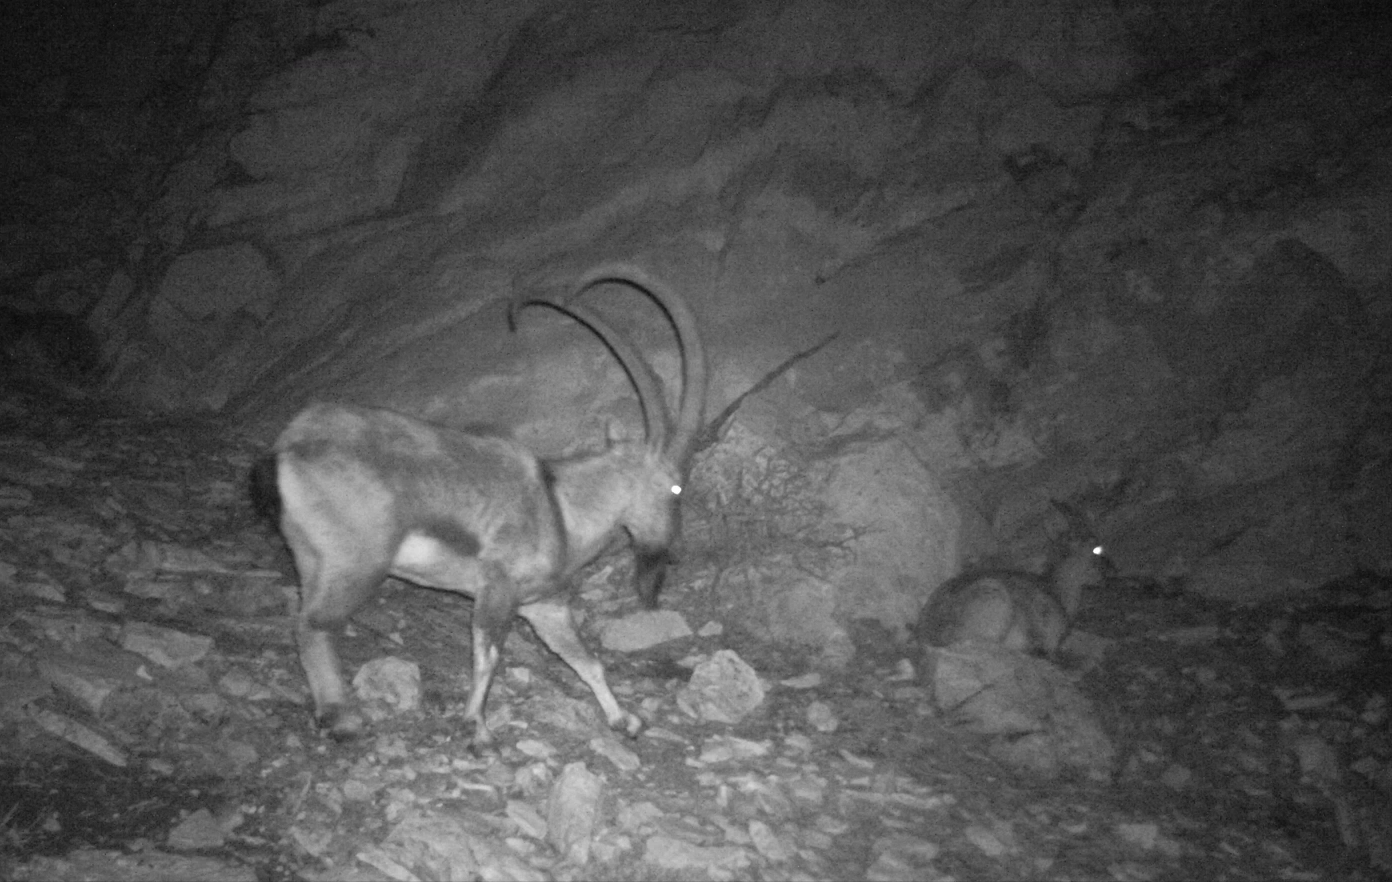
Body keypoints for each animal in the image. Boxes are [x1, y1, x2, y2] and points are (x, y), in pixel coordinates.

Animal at [268, 263, 707, 747]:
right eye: (676, 488)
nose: (676, 552)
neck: (561, 508)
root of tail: (293, 444)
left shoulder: (543, 604)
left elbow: (584, 660)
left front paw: (623, 720)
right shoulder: (497, 588)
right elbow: (489, 656)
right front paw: (476, 728)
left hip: (312, 559)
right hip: (357, 563)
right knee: (313, 625)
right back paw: (343, 719)